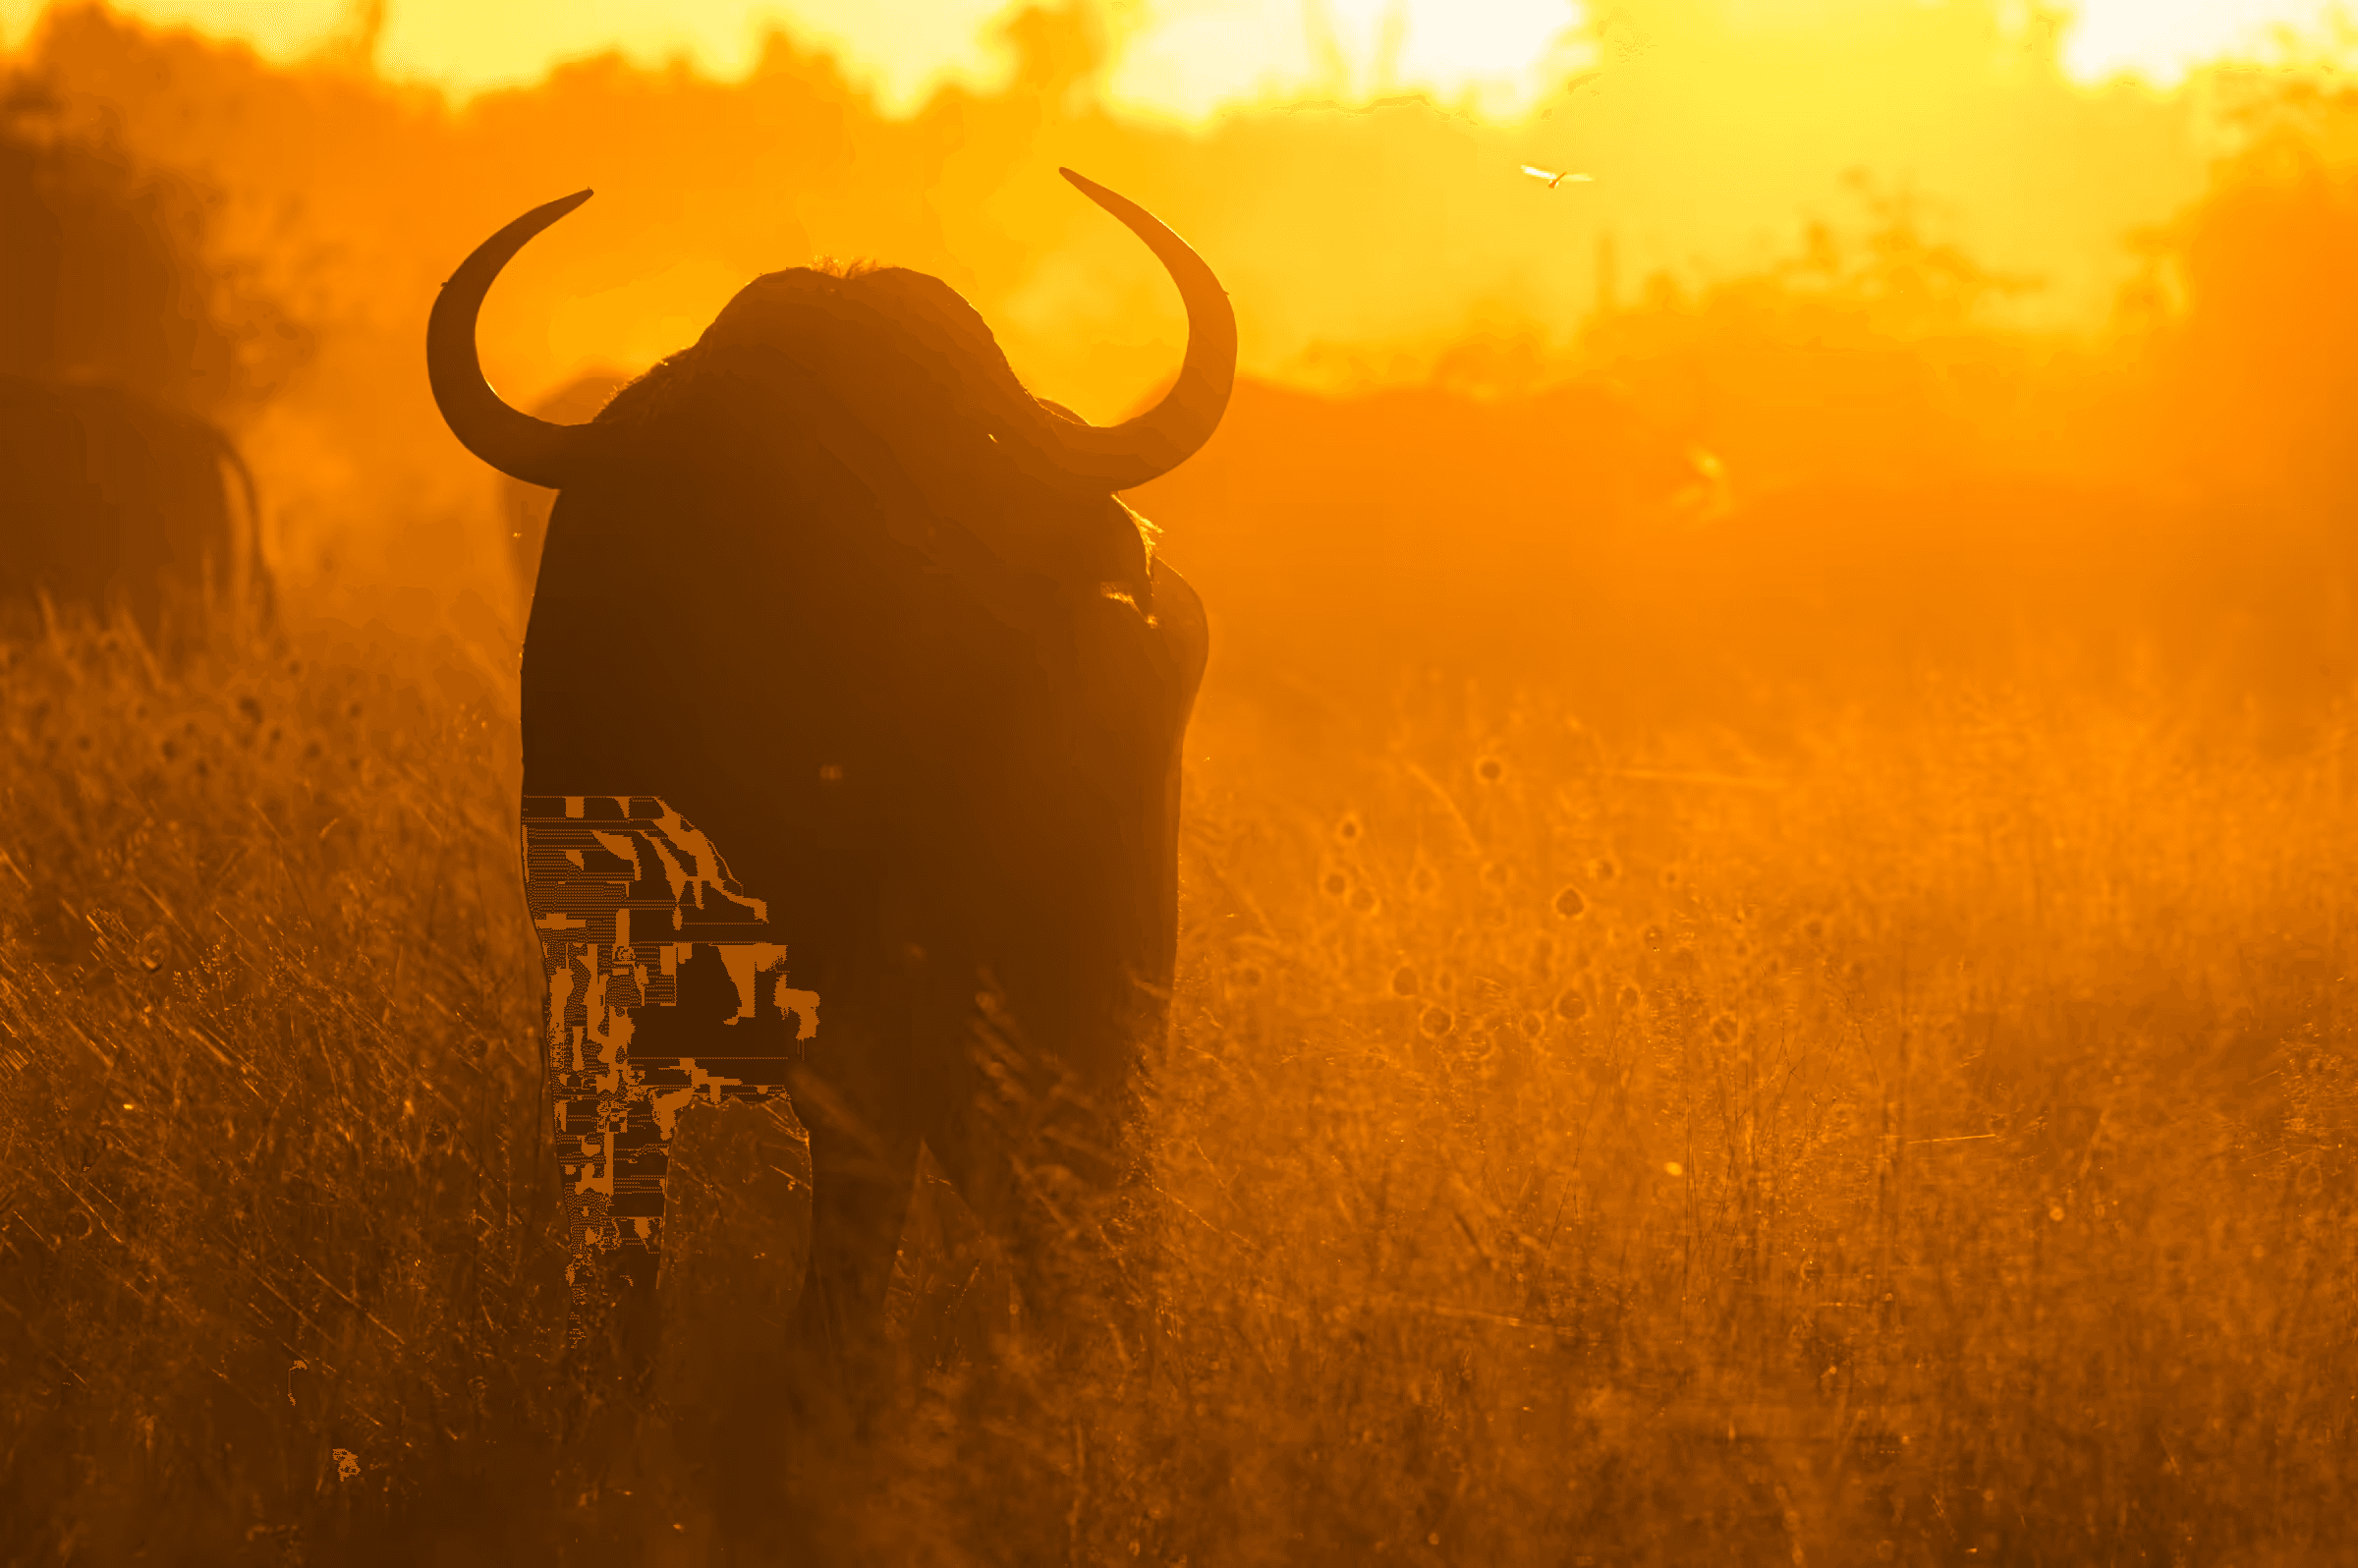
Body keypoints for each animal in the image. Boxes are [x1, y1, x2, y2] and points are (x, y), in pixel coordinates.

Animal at [426, 171, 1233, 1483]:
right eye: (747, 487)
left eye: (963, 473)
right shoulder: (587, 977)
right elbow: (622, 1201)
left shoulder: (897, 1003)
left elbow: (860, 1174)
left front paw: (816, 1409)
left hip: (1100, 997)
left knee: (1087, 1187)